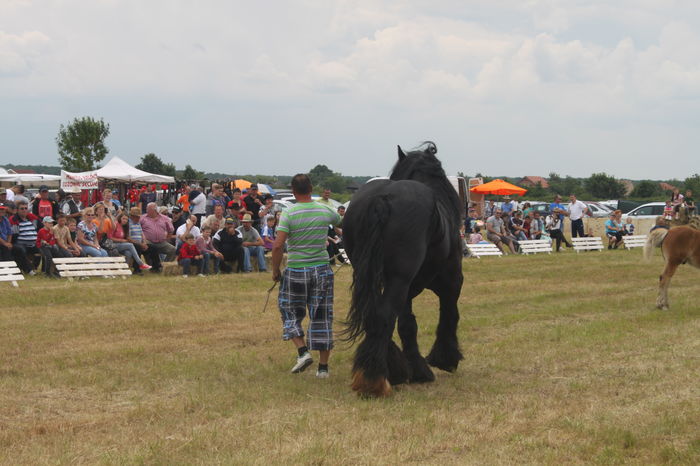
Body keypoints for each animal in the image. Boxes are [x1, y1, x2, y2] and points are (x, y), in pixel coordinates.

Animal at [342, 142, 462, 396]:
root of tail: (382, 198)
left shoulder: (405, 290)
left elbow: (407, 324)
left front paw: (414, 369)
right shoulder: (452, 281)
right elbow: (449, 313)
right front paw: (445, 359)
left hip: (374, 276)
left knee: (374, 314)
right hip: (400, 279)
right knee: (383, 314)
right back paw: (374, 381)